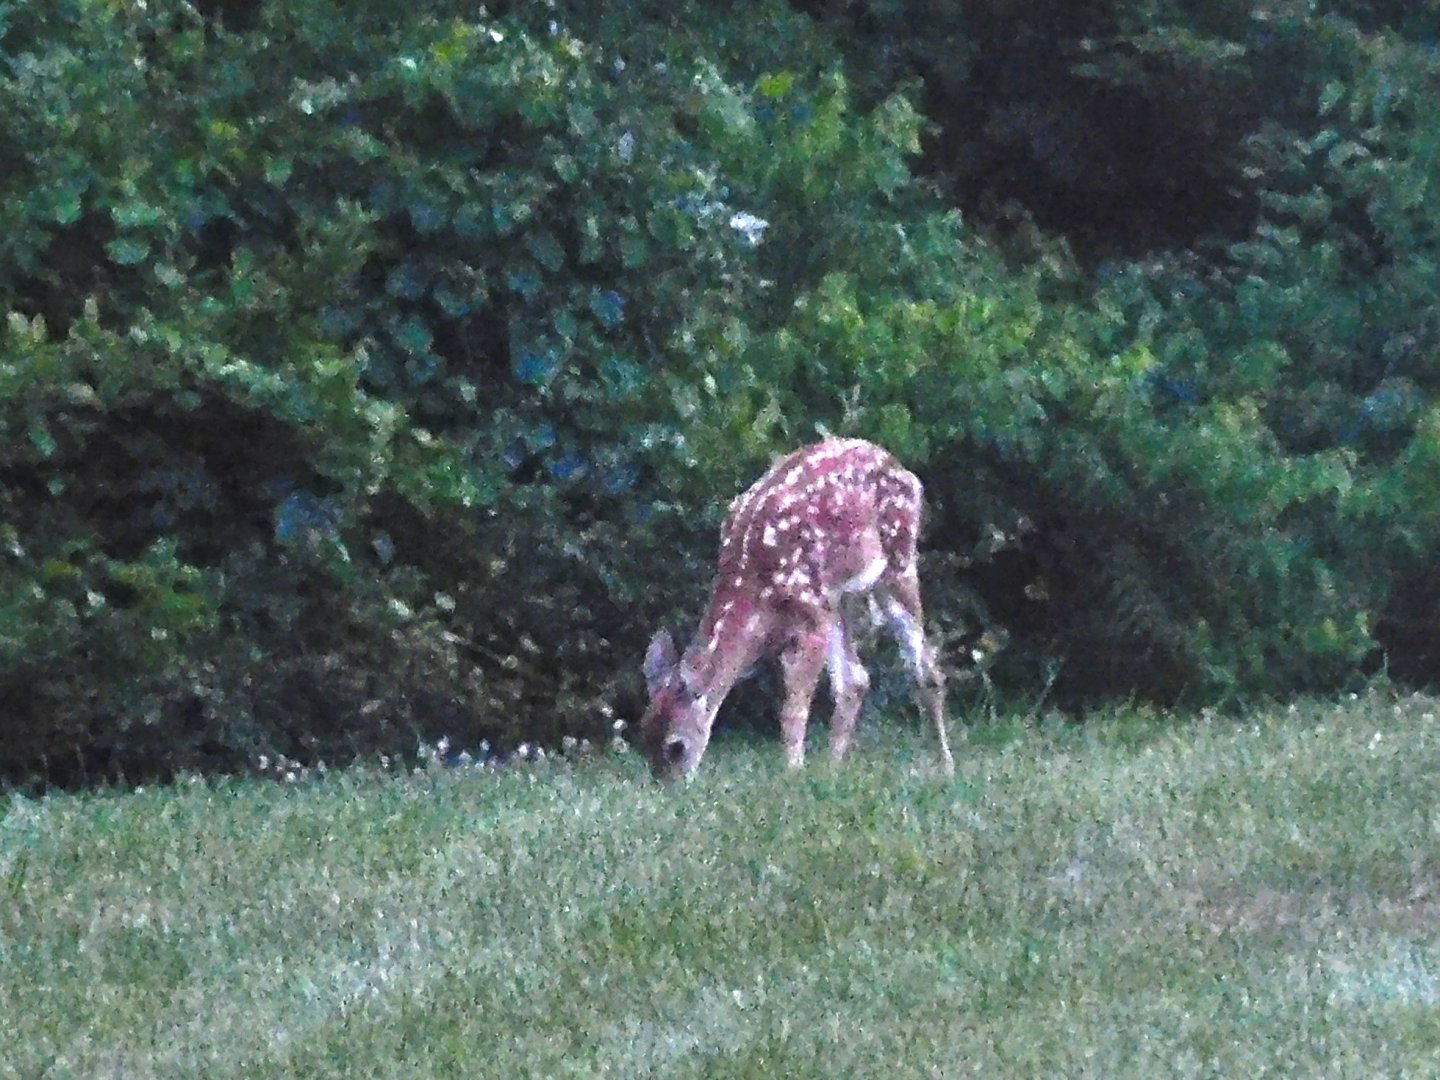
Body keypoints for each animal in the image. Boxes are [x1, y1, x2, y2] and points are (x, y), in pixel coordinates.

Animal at [640, 437, 955, 781]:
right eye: (644, 739)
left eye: (676, 747)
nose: (670, 785)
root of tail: (901, 467)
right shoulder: (816, 611)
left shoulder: (811, 616)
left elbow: (793, 709)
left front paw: (792, 774)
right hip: (837, 596)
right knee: (855, 680)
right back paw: (833, 771)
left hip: (897, 561)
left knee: (926, 669)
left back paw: (946, 767)